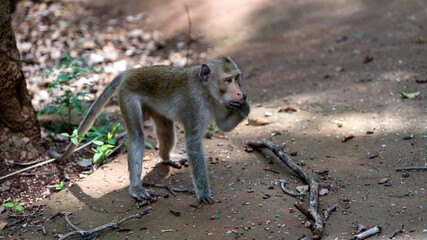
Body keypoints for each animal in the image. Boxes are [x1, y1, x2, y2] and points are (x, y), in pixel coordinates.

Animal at [51, 56, 251, 204]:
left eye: (237, 77)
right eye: (228, 80)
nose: (240, 93)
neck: (206, 91)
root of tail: (132, 71)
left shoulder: (221, 103)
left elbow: (223, 126)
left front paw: (245, 106)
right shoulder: (193, 105)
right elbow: (193, 144)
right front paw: (203, 193)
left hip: (152, 105)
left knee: (165, 126)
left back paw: (167, 157)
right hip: (127, 95)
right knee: (137, 136)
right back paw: (135, 188)